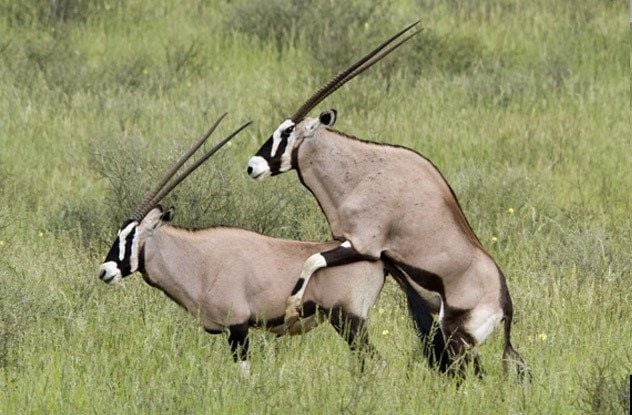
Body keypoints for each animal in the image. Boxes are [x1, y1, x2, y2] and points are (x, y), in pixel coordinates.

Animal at [99, 114, 386, 376]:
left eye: (130, 237)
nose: (104, 271)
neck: (198, 259)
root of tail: (378, 260)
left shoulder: (238, 328)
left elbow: (244, 375)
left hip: (348, 319)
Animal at [247, 23, 528, 380]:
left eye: (286, 134)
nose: (252, 166)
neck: (362, 171)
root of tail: (506, 304)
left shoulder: (362, 244)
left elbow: (311, 260)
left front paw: (292, 309)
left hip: (457, 335)